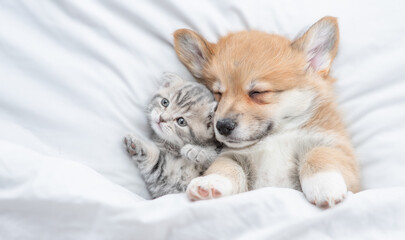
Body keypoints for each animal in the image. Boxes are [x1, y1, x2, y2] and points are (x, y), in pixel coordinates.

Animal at [172, 17, 358, 208]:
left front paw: (324, 184)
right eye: (218, 93)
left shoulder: (333, 147)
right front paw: (209, 182)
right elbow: (225, 166)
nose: (223, 126)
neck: (275, 137)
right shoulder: (232, 156)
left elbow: (319, 155)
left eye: (257, 92)